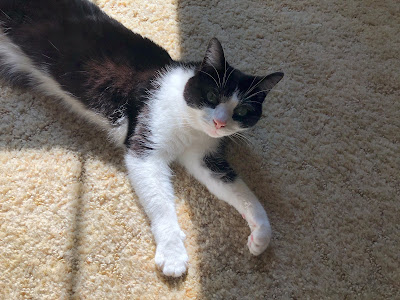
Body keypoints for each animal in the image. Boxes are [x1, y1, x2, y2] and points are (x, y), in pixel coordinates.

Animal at [0, 0, 282, 278]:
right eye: (212, 95)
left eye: (242, 111)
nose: (220, 122)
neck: (189, 124)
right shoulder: (145, 146)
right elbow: (160, 202)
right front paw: (173, 252)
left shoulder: (204, 156)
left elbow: (237, 188)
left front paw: (261, 233)